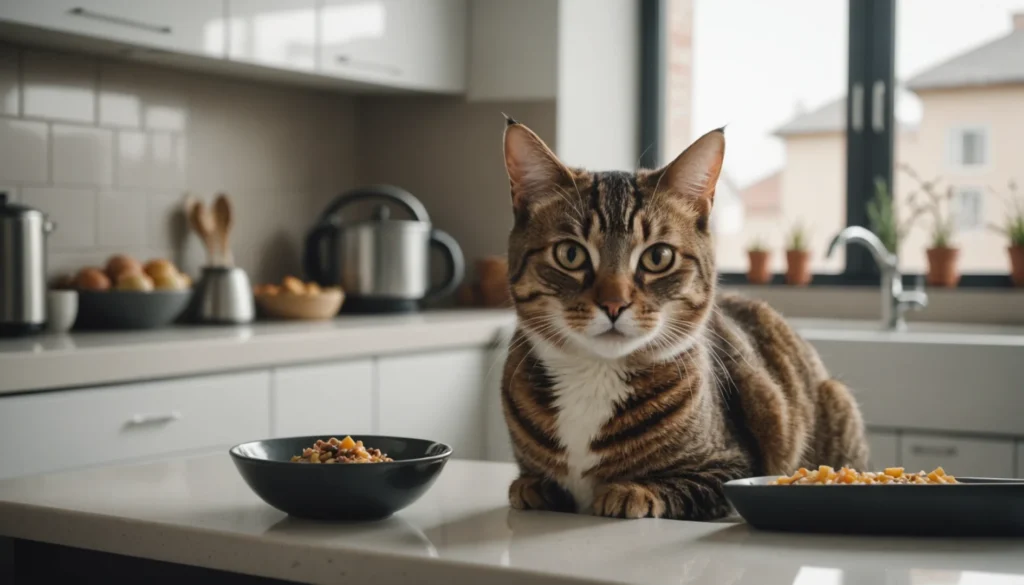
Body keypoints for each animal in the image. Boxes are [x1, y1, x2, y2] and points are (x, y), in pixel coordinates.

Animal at [499, 116, 868, 520]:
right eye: (570, 254)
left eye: (658, 257)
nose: (614, 304)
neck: (595, 373)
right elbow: (528, 480)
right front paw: (534, 487)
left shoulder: (732, 464)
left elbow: (680, 484)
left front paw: (629, 491)